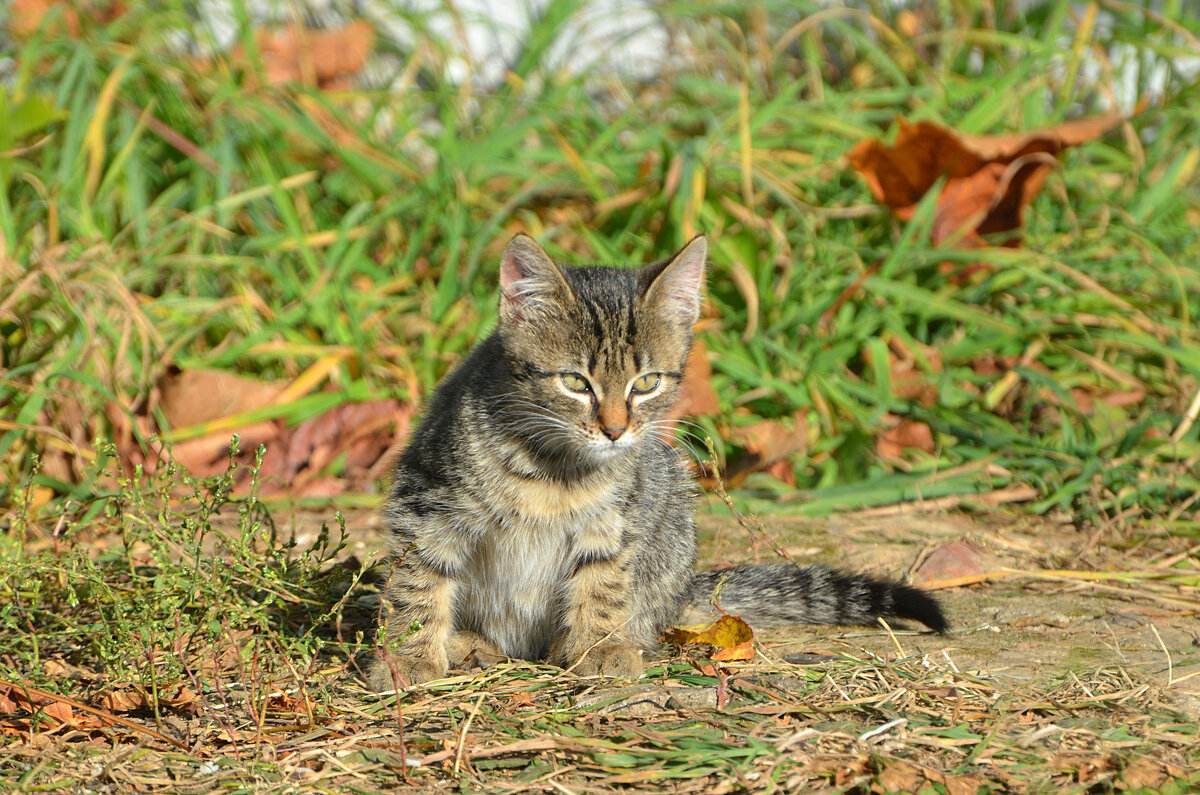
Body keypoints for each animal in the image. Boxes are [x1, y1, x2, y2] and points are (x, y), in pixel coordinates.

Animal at [367, 235, 945, 691]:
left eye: (645, 383)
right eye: (574, 382)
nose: (615, 429)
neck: (553, 468)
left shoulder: (615, 521)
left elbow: (602, 584)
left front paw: (600, 647)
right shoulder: (426, 507)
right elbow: (418, 586)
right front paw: (410, 657)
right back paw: (469, 643)